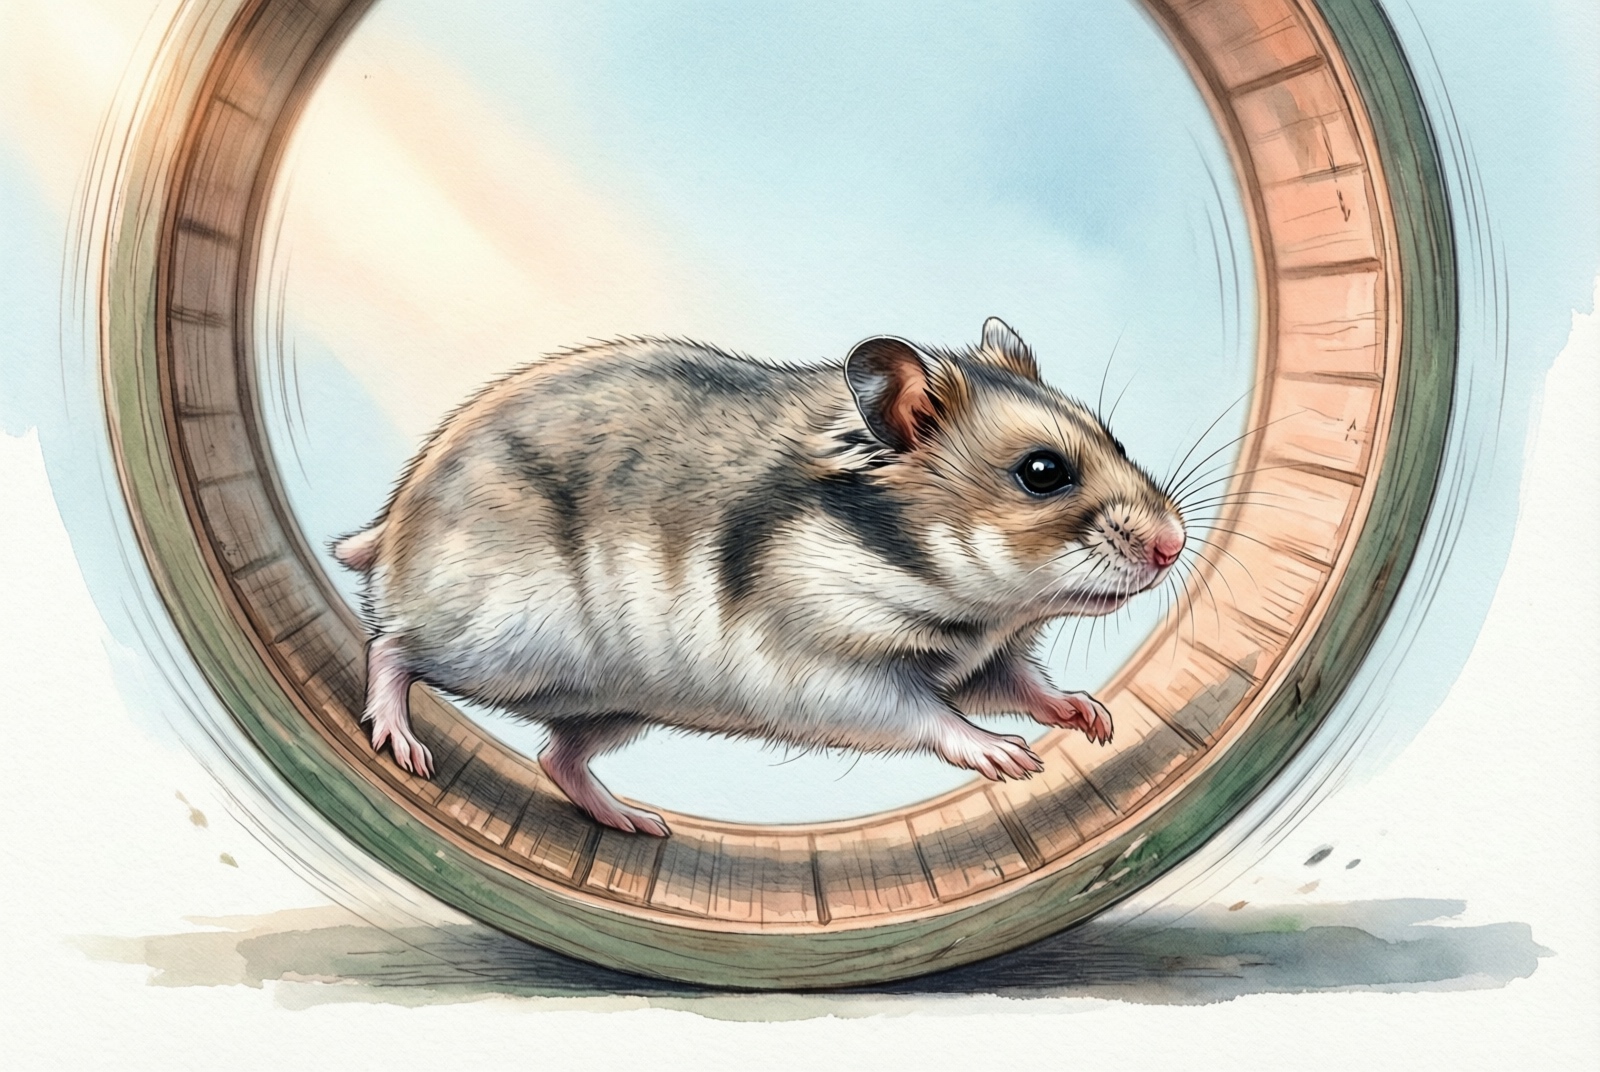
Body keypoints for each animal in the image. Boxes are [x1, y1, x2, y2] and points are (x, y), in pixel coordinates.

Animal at [334, 318, 1185, 837]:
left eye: (1113, 438)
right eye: (1043, 472)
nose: (1175, 546)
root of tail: (393, 523)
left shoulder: (984, 660)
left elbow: (1024, 685)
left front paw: (1094, 718)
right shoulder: (826, 671)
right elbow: (927, 716)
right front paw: (1009, 757)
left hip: (607, 702)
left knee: (556, 758)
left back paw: (637, 823)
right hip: (502, 638)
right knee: (392, 648)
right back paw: (402, 745)